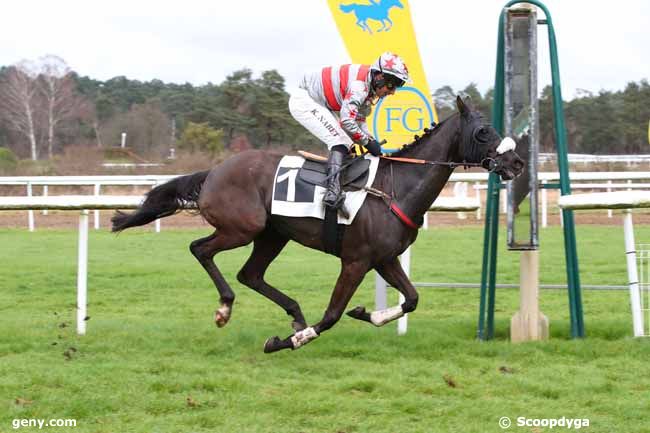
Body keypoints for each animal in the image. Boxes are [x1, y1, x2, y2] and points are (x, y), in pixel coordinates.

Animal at [111, 97, 524, 352]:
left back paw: (293, 314)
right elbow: (331, 315)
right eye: (484, 132)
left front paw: (366, 313)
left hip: (272, 235)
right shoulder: (356, 260)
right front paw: (286, 342)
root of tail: (214, 170)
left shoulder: (384, 259)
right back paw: (226, 308)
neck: (396, 187)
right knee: (200, 249)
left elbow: (411, 299)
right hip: (242, 228)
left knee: (250, 274)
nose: (517, 163)